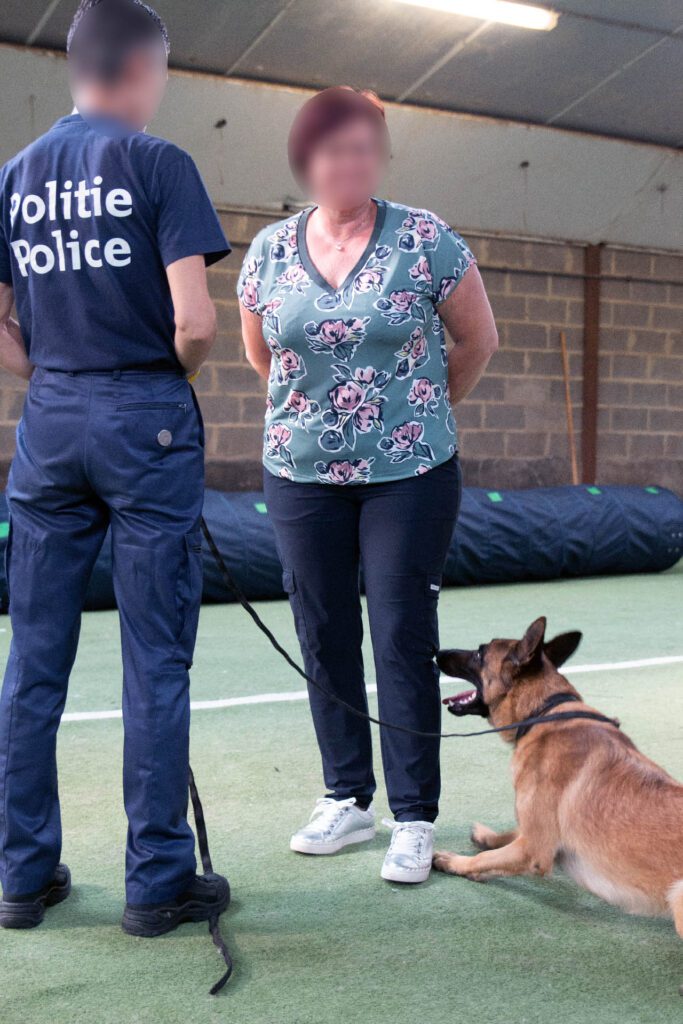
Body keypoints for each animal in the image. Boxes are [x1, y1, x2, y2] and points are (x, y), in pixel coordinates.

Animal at [432, 614, 683, 937]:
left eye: (479, 653)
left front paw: (455, 861)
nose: (437, 652)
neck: (546, 709)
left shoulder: (533, 849)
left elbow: (484, 859)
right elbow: (512, 831)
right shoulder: (536, 830)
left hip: (678, 897)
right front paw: (488, 836)